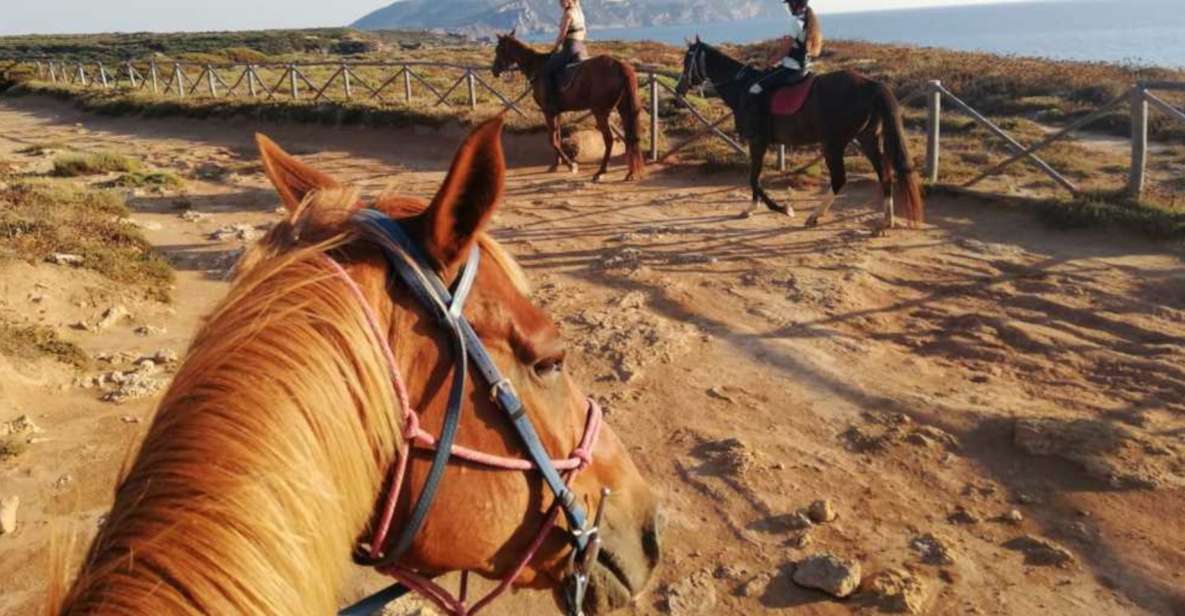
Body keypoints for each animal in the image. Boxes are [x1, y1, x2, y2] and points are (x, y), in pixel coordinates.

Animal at [490, 30, 644, 182]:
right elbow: (557, 136)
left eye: (499, 49)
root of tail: (619, 66)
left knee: (609, 139)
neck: (537, 67)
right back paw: (630, 173)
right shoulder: (556, 112)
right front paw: (556, 164)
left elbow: (552, 139)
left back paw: (600, 172)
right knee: (630, 138)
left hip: (600, 112)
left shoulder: (548, 112)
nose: (494, 70)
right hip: (623, 109)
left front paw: (570, 165)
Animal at [677, 39, 924, 231]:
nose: (679, 88)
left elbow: (754, 178)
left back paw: (815, 215)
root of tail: (871, 84)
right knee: (884, 173)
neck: (743, 88)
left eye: (687, 61)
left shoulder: (757, 141)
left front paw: (781, 208)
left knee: (840, 178)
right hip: (867, 139)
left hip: (833, 144)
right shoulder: (758, 143)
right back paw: (887, 220)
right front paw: (752, 207)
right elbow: (754, 176)